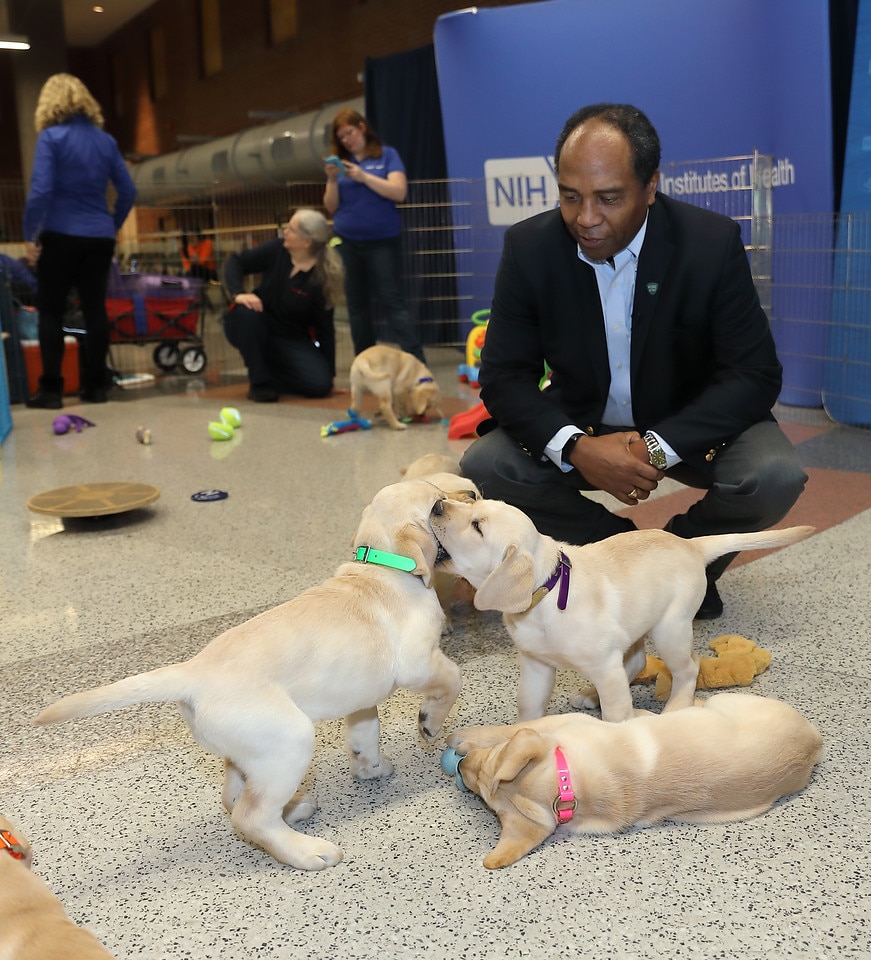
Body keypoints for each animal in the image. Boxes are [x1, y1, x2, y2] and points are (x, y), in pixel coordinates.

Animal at [432, 496, 816, 720]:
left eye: (477, 527)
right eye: (474, 503)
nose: (437, 503)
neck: (548, 588)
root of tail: (691, 544)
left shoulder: (604, 667)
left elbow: (617, 714)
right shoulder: (536, 665)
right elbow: (528, 705)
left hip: (670, 629)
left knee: (688, 667)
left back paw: (676, 707)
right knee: (636, 662)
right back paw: (591, 696)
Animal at [446, 696, 820, 872]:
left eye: (490, 760)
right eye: (483, 798)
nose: (461, 766)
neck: (571, 791)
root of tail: (814, 744)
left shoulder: (562, 724)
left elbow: (512, 728)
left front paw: (463, 737)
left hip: (730, 701)